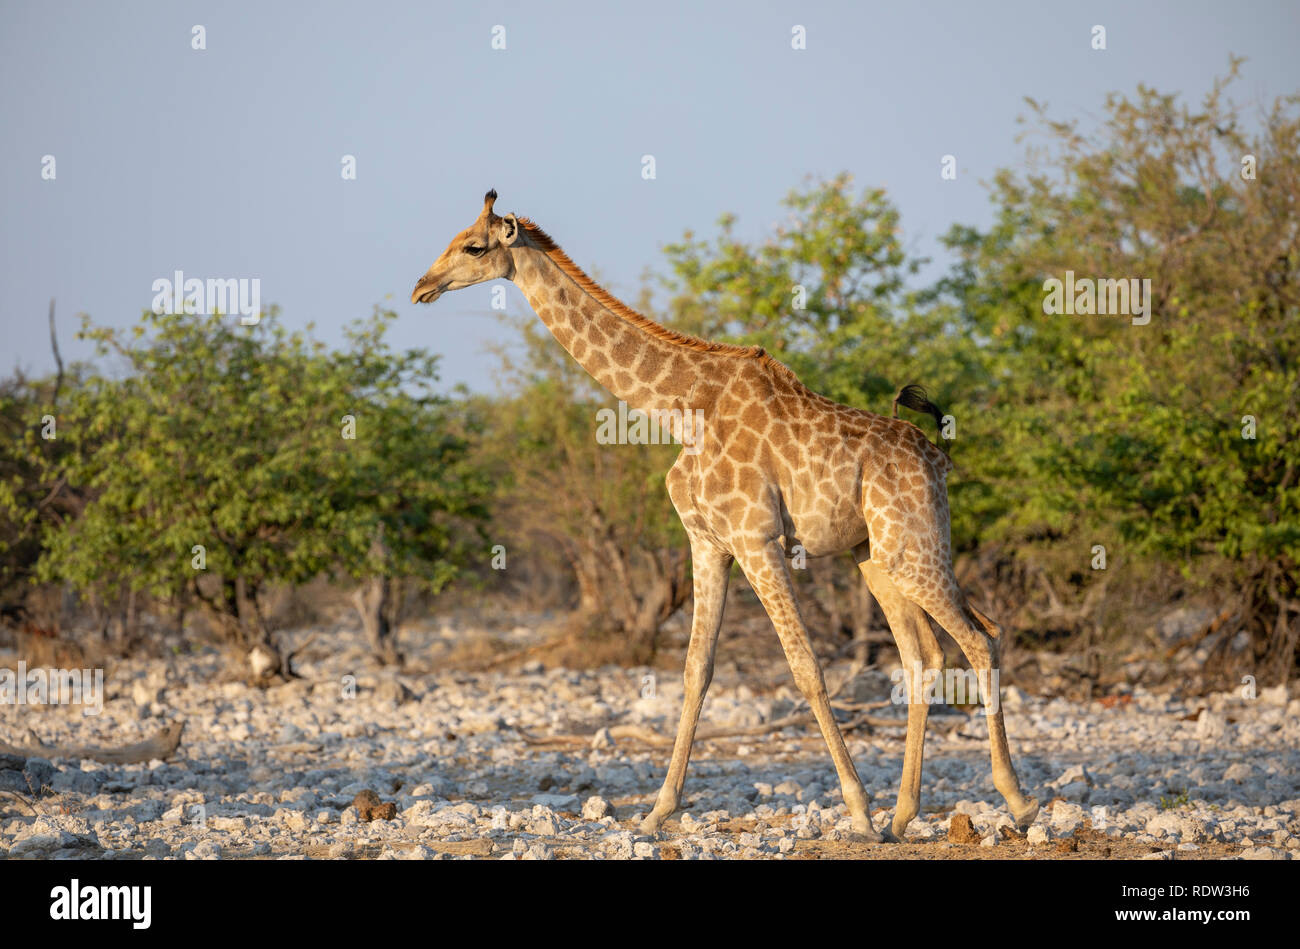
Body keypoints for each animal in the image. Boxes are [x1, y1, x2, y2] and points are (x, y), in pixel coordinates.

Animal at [412, 191, 1039, 842]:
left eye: (473, 247)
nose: (421, 286)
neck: (681, 410)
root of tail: (939, 456)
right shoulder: (707, 542)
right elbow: (696, 670)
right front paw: (658, 811)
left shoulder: (756, 538)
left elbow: (805, 667)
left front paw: (857, 810)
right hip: (878, 556)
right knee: (927, 656)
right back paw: (903, 815)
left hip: (913, 547)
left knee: (980, 639)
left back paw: (1014, 803)